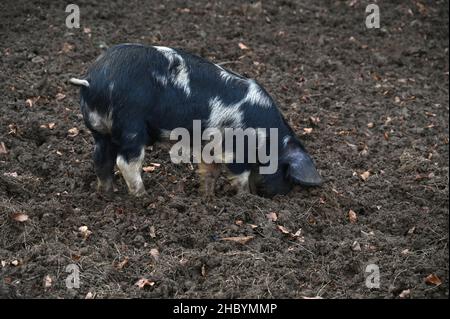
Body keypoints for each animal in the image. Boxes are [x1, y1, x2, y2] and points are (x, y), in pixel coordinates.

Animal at [69, 42, 324, 198]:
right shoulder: (236, 151)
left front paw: (207, 196)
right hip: (130, 126)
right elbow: (240, 177)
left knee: (101, 159)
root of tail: (92, 79)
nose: (282, 193)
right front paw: (245, 198)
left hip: (101, 131)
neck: (268, 138)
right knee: (126, 162)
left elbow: (210, 172)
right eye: (286, 172)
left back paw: (106, 193)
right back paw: (144, 196)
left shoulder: (211, 148)